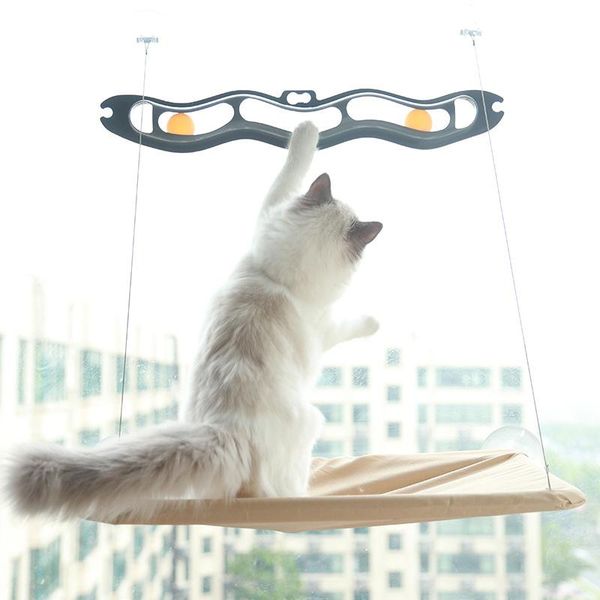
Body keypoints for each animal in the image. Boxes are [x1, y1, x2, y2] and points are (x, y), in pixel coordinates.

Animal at [4, 121, 382, 520]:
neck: (277, 276)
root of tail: (224, 430)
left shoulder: (267, 216)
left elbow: (289, 169)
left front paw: (304, 129)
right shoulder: (325, 327)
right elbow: (295, 167)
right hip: (312, 423)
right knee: (281, 488)